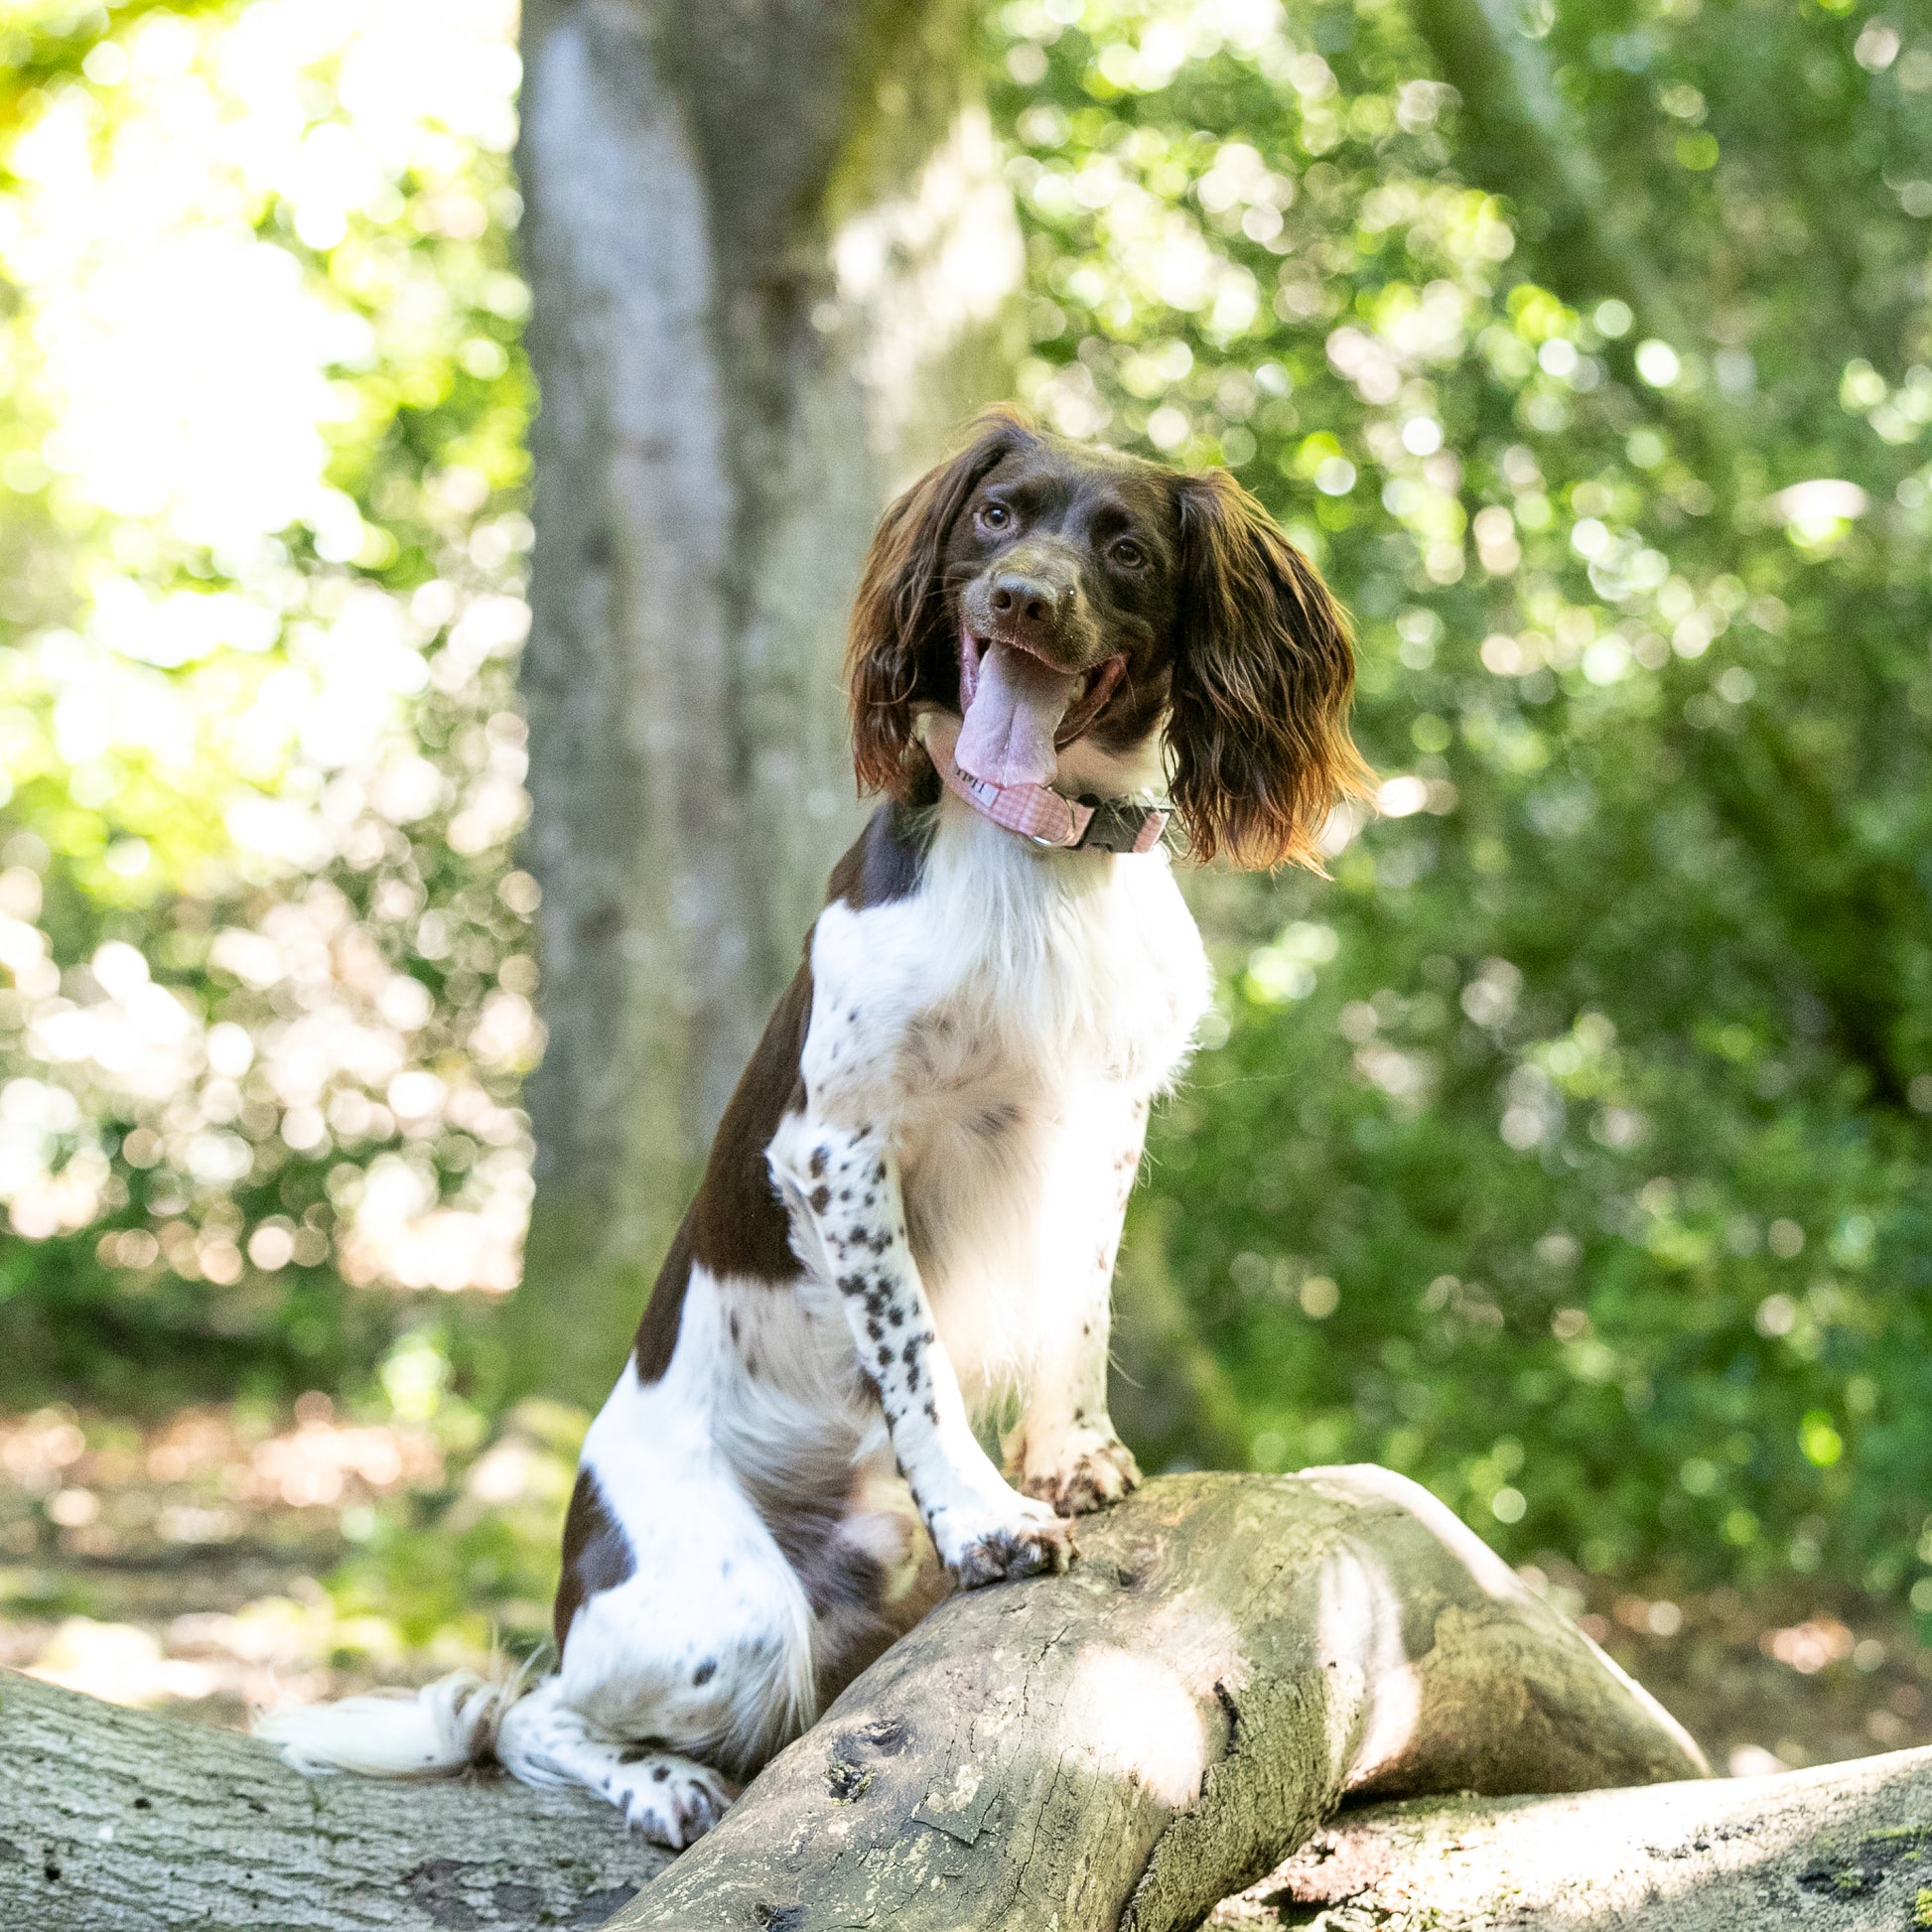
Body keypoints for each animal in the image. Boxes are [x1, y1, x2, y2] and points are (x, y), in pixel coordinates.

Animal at [260, 403, 1375, 1839]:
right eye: (996, 516)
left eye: (1123, 545)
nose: (1020, 599)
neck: (1035, 856)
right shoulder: (839, 1147)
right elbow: (916, 1357)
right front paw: (986, 1517)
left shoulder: (1103, 1121)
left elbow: (1078, 1308)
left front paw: (1069, 1455)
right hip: (726, 1617)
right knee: (531, 1711)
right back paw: (661, 1781)